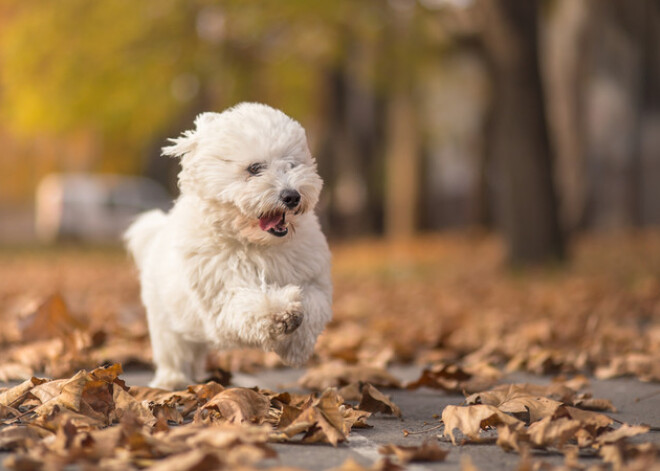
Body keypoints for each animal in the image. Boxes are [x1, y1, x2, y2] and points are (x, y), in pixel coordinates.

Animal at [124, 103, 332, 390]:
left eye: (292, 164)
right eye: (255, 168)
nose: (292, 196)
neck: (257, 244)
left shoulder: (313, 278)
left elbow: (313, 303)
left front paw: (296, 347)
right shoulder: (221, 297)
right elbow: (249, 304)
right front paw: (281, 313)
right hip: (165, 320)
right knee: (174, 351)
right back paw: (172, 380)